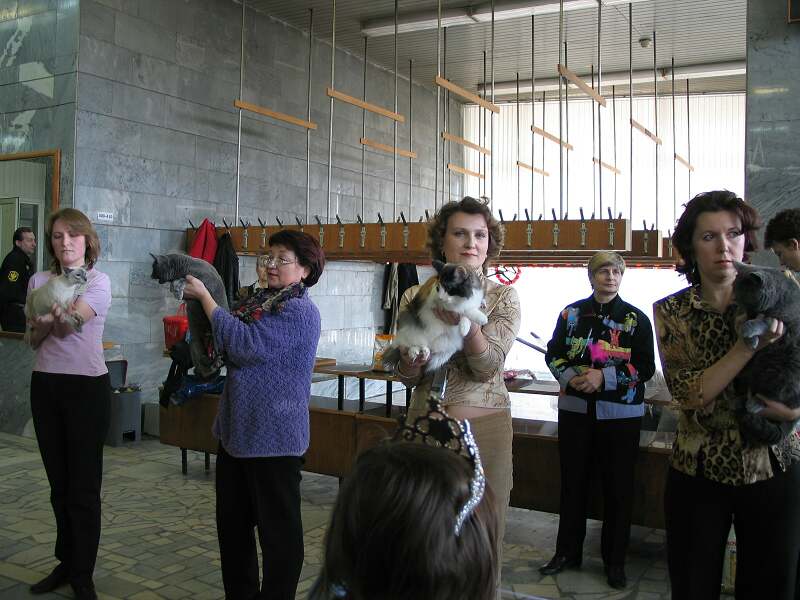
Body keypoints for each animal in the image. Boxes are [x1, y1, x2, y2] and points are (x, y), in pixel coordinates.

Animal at [732, 261, 800, 444]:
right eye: (734, 288)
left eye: (742, 293)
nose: (733, 299)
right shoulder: (750, 313)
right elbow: (746, 322)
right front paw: (750, 341)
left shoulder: (784, 322)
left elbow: (764, 322)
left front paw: (749, 330)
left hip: (784, 374)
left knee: (776, 396)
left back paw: (754, 403)